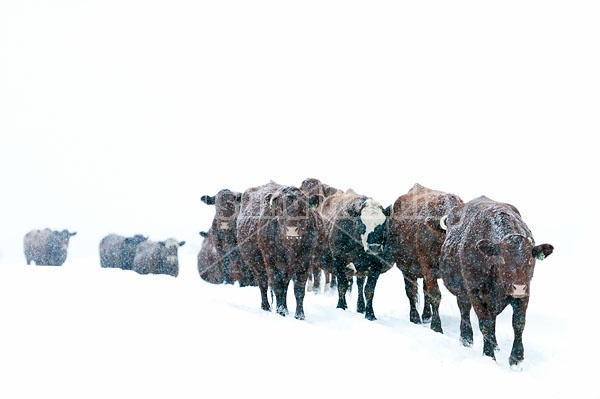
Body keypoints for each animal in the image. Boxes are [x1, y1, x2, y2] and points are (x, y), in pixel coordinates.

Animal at [237, 183, 326, 320]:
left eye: (304, 209)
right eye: (280, 209)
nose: (292, 230)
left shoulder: (304, 263)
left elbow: (299, 290)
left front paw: (299, 315)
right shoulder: (272, 263)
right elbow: (277, 287)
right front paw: (281, 312)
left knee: (284, 286)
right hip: (257, 266)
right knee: (263, 284)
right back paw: (266, 307)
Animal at [314, 189, 394, 320]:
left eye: (382, 225)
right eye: (362, 224)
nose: (374, 247)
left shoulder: (376, 265)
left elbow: (369, 290)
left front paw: (370, 314)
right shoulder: (339, 260)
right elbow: (342, 285)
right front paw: (340, 307)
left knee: (360, 284)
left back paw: (360, 307)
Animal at [390, 184, 464, 332]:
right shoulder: (428, 269)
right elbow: (435, 295)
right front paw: (436, 326)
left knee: (424, 291)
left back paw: (425, 314)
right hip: (407, 269)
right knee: (411, 292)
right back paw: (414, 317)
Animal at [438, 197, 556, 368]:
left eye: (530, 260)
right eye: (502, 260)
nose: (518, 287)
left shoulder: (525, 294)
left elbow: (518, 323)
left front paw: (516, 358)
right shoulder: (475, 293)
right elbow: (485, 324)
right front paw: (488, 356)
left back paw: (495, 345)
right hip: (463, 292)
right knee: (465, 310)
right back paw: (466, 339)